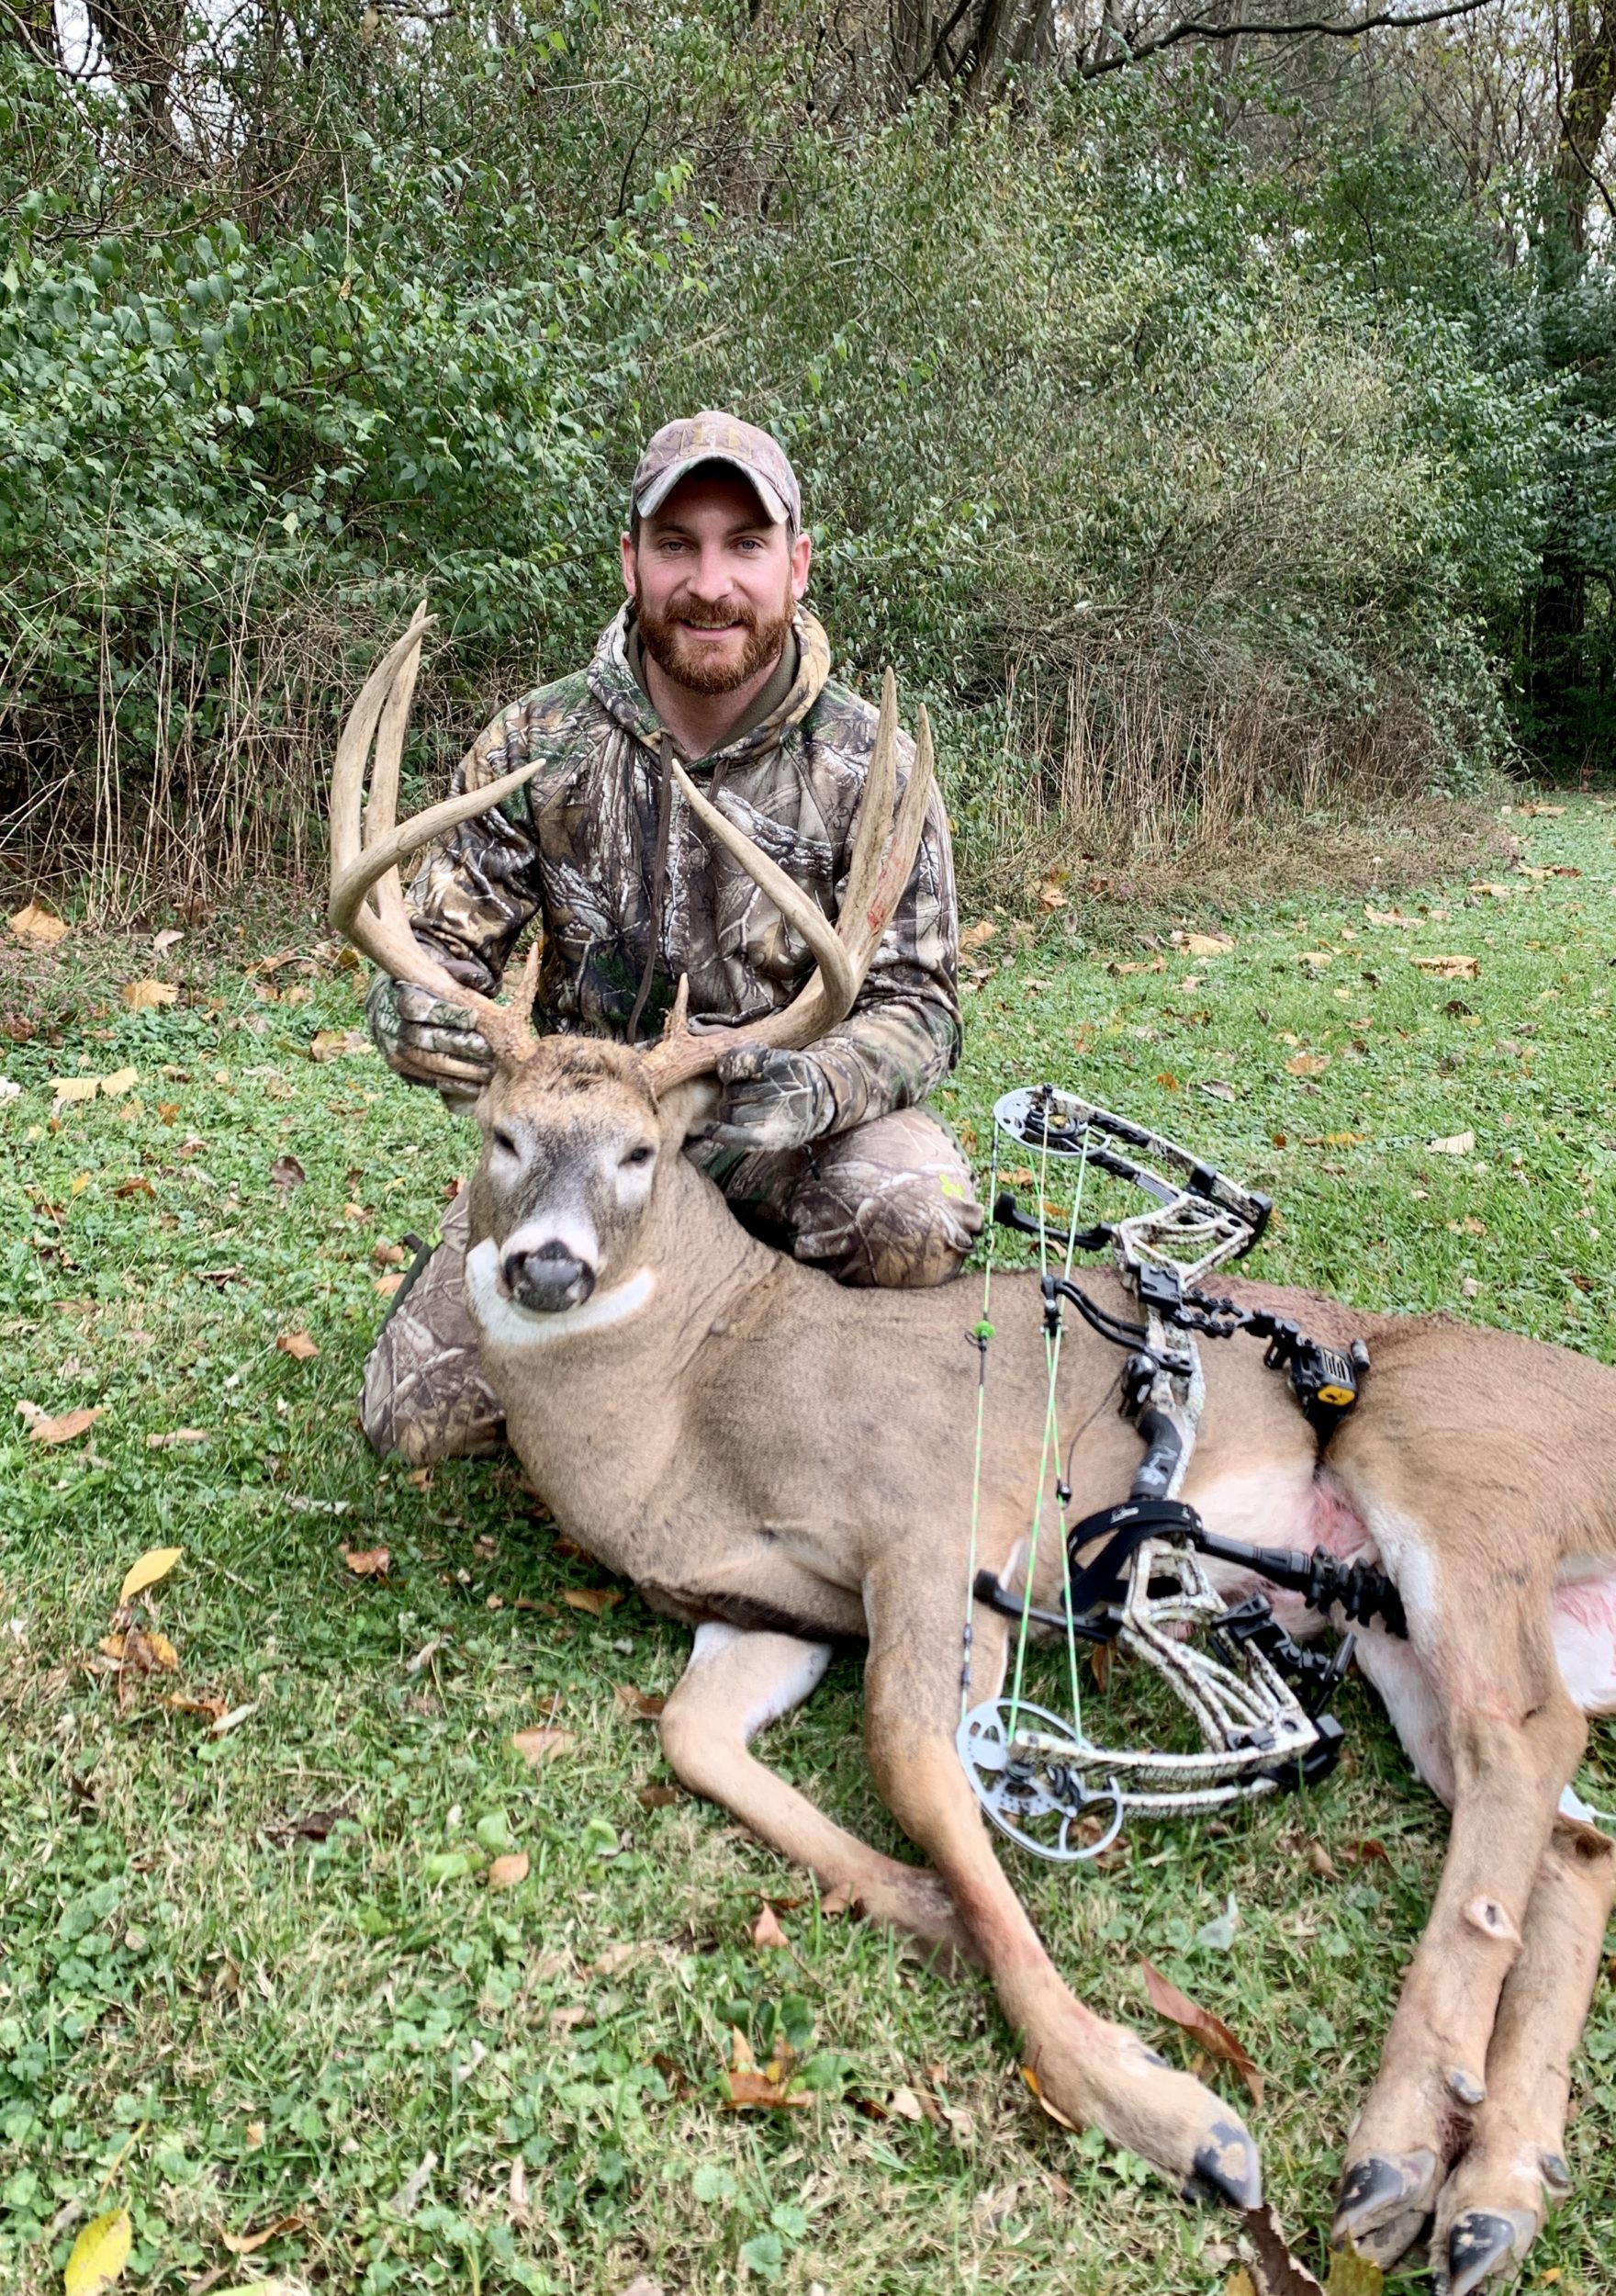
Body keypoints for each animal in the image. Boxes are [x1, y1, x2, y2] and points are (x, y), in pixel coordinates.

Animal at [330, 607, 1616, 2296]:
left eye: (642, 1152)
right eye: (498, 1137)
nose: (546, 1264)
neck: (691, 1414)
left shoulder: (939, 1520)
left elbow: (917, 1757)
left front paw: (1174, 2113)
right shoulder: (762, 1608)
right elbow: (695, 1742)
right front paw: (928, 1908)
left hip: (1454, 1487)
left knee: (1524, 1742)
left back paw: (1398, 2153)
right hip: (1380, 1615)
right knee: (1572, 1829)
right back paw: (1484, 2191)